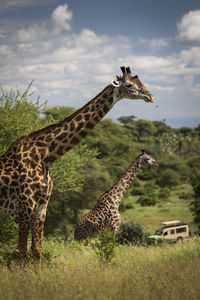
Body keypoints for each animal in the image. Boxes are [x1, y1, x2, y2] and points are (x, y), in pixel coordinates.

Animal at [0, 66, 155, 262]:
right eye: (129, 85)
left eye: (140, 82)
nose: (150, 96)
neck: (45, 156)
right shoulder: (25, 206)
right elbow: (21, 252)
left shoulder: (41, 208)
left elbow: (37, 251)